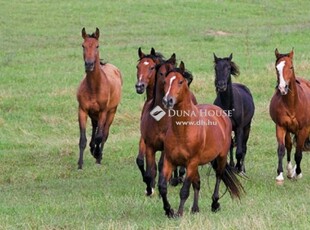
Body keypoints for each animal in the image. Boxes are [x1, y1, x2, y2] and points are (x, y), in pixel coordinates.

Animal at [76, 28, 122, 169]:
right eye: (83, 46)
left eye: (97, 46)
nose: (89, 64)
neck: (94, 87)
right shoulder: (82, 111)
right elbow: (83, 139)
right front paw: (80, 164)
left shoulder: (103, 112)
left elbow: (100, 137)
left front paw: (97, 155)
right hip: (93, 114)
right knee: (95, 129)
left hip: (111, 112)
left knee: (104, 134)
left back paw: (98, 156)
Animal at [160, 61, 245, 217]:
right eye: (165, 82)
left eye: (180, 81)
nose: (167, 100)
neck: (183, 130)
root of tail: (221, 113)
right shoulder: (170, 161)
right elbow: (163, 187)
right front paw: (169, 210)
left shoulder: (191, 163)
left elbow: (184, 190)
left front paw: (179, 213)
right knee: (198, 183)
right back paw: (195, 208)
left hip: (221, 157)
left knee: (218, 176)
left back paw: (215, 203)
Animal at [268, 49, 310, 183]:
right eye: (276, 68)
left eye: (291, 67)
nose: (282, 88)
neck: (292, 104)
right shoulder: (281, 126)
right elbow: (282, 149)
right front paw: (280, 174)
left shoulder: (304, 129)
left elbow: (299, 153)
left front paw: (298, 173)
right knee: (290, 146)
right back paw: (290, 171)